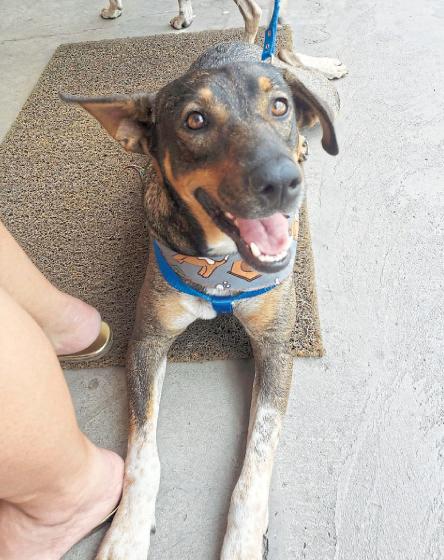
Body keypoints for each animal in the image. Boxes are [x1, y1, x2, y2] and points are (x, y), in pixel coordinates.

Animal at [62, 1, 342, 557]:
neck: (223, 267)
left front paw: (242, 542)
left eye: (279, 107)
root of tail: (247, 44)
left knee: (290, 54)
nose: (284, 183)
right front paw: (126, 532)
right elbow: (142, 455)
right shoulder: (147, 341)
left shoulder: (276, 348)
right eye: (194, 120)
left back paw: (321, 79)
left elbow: (257, 458)